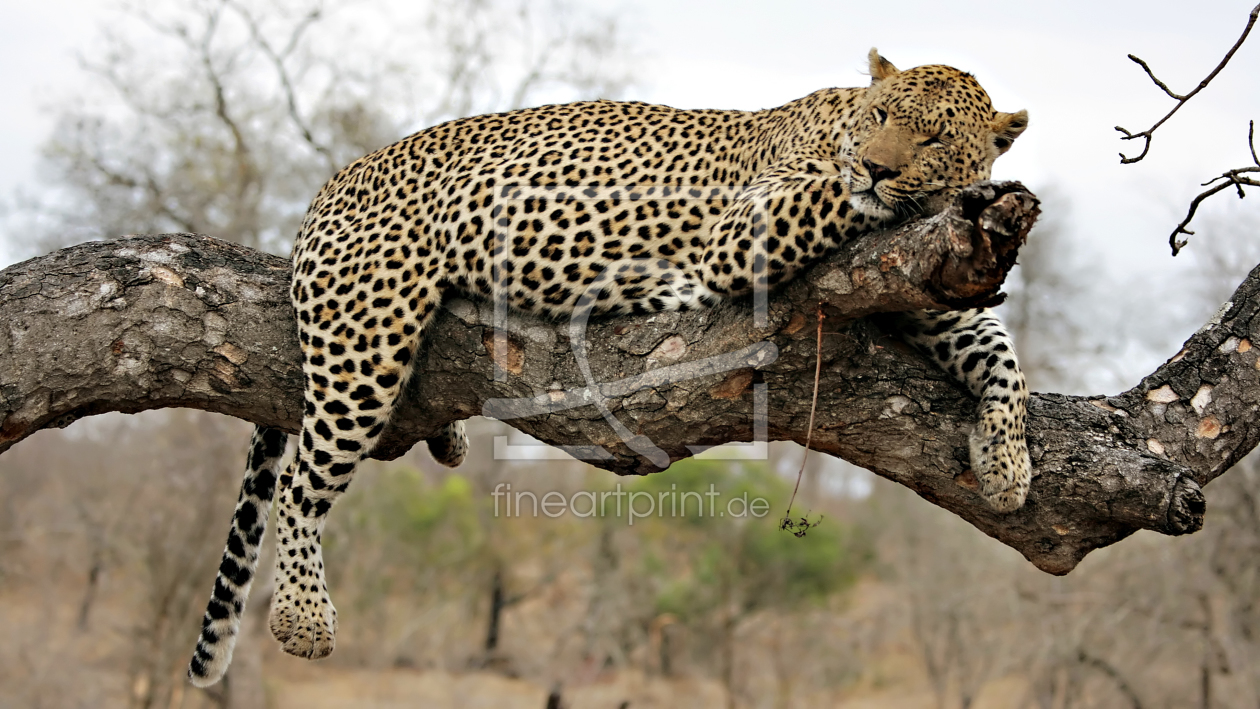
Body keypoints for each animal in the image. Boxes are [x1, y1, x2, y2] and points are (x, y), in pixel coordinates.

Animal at [189, 45, 1033, 690]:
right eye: (882, 118)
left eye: (935, 138)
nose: (877, 167)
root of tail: (330, 184)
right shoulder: (747, 227)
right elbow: (831, 195)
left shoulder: (926, 284)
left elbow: (1002, 354)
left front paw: (1008, 466)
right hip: (366, 333)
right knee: (302, 481)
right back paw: (302, 616)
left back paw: (450, 439)